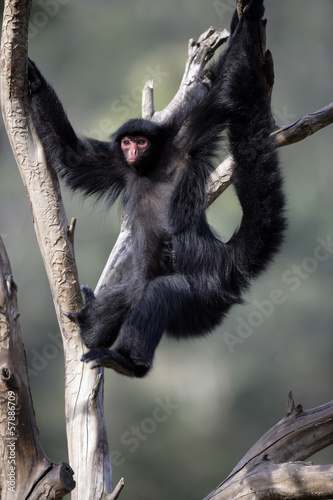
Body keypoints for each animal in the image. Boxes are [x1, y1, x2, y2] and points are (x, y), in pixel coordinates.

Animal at [27, 0, 286, 376]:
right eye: (127, 142)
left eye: (141, 141)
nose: (133, 149)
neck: (148, 167)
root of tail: (224, 262)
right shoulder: (120, 165)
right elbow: (72, 157)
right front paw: (32, 82)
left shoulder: (185, 139)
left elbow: (222, 90)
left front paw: (249, 14)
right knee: (132, 291)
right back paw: (92, 329)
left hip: (204, 295)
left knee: (160, 292)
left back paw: (128, 362)